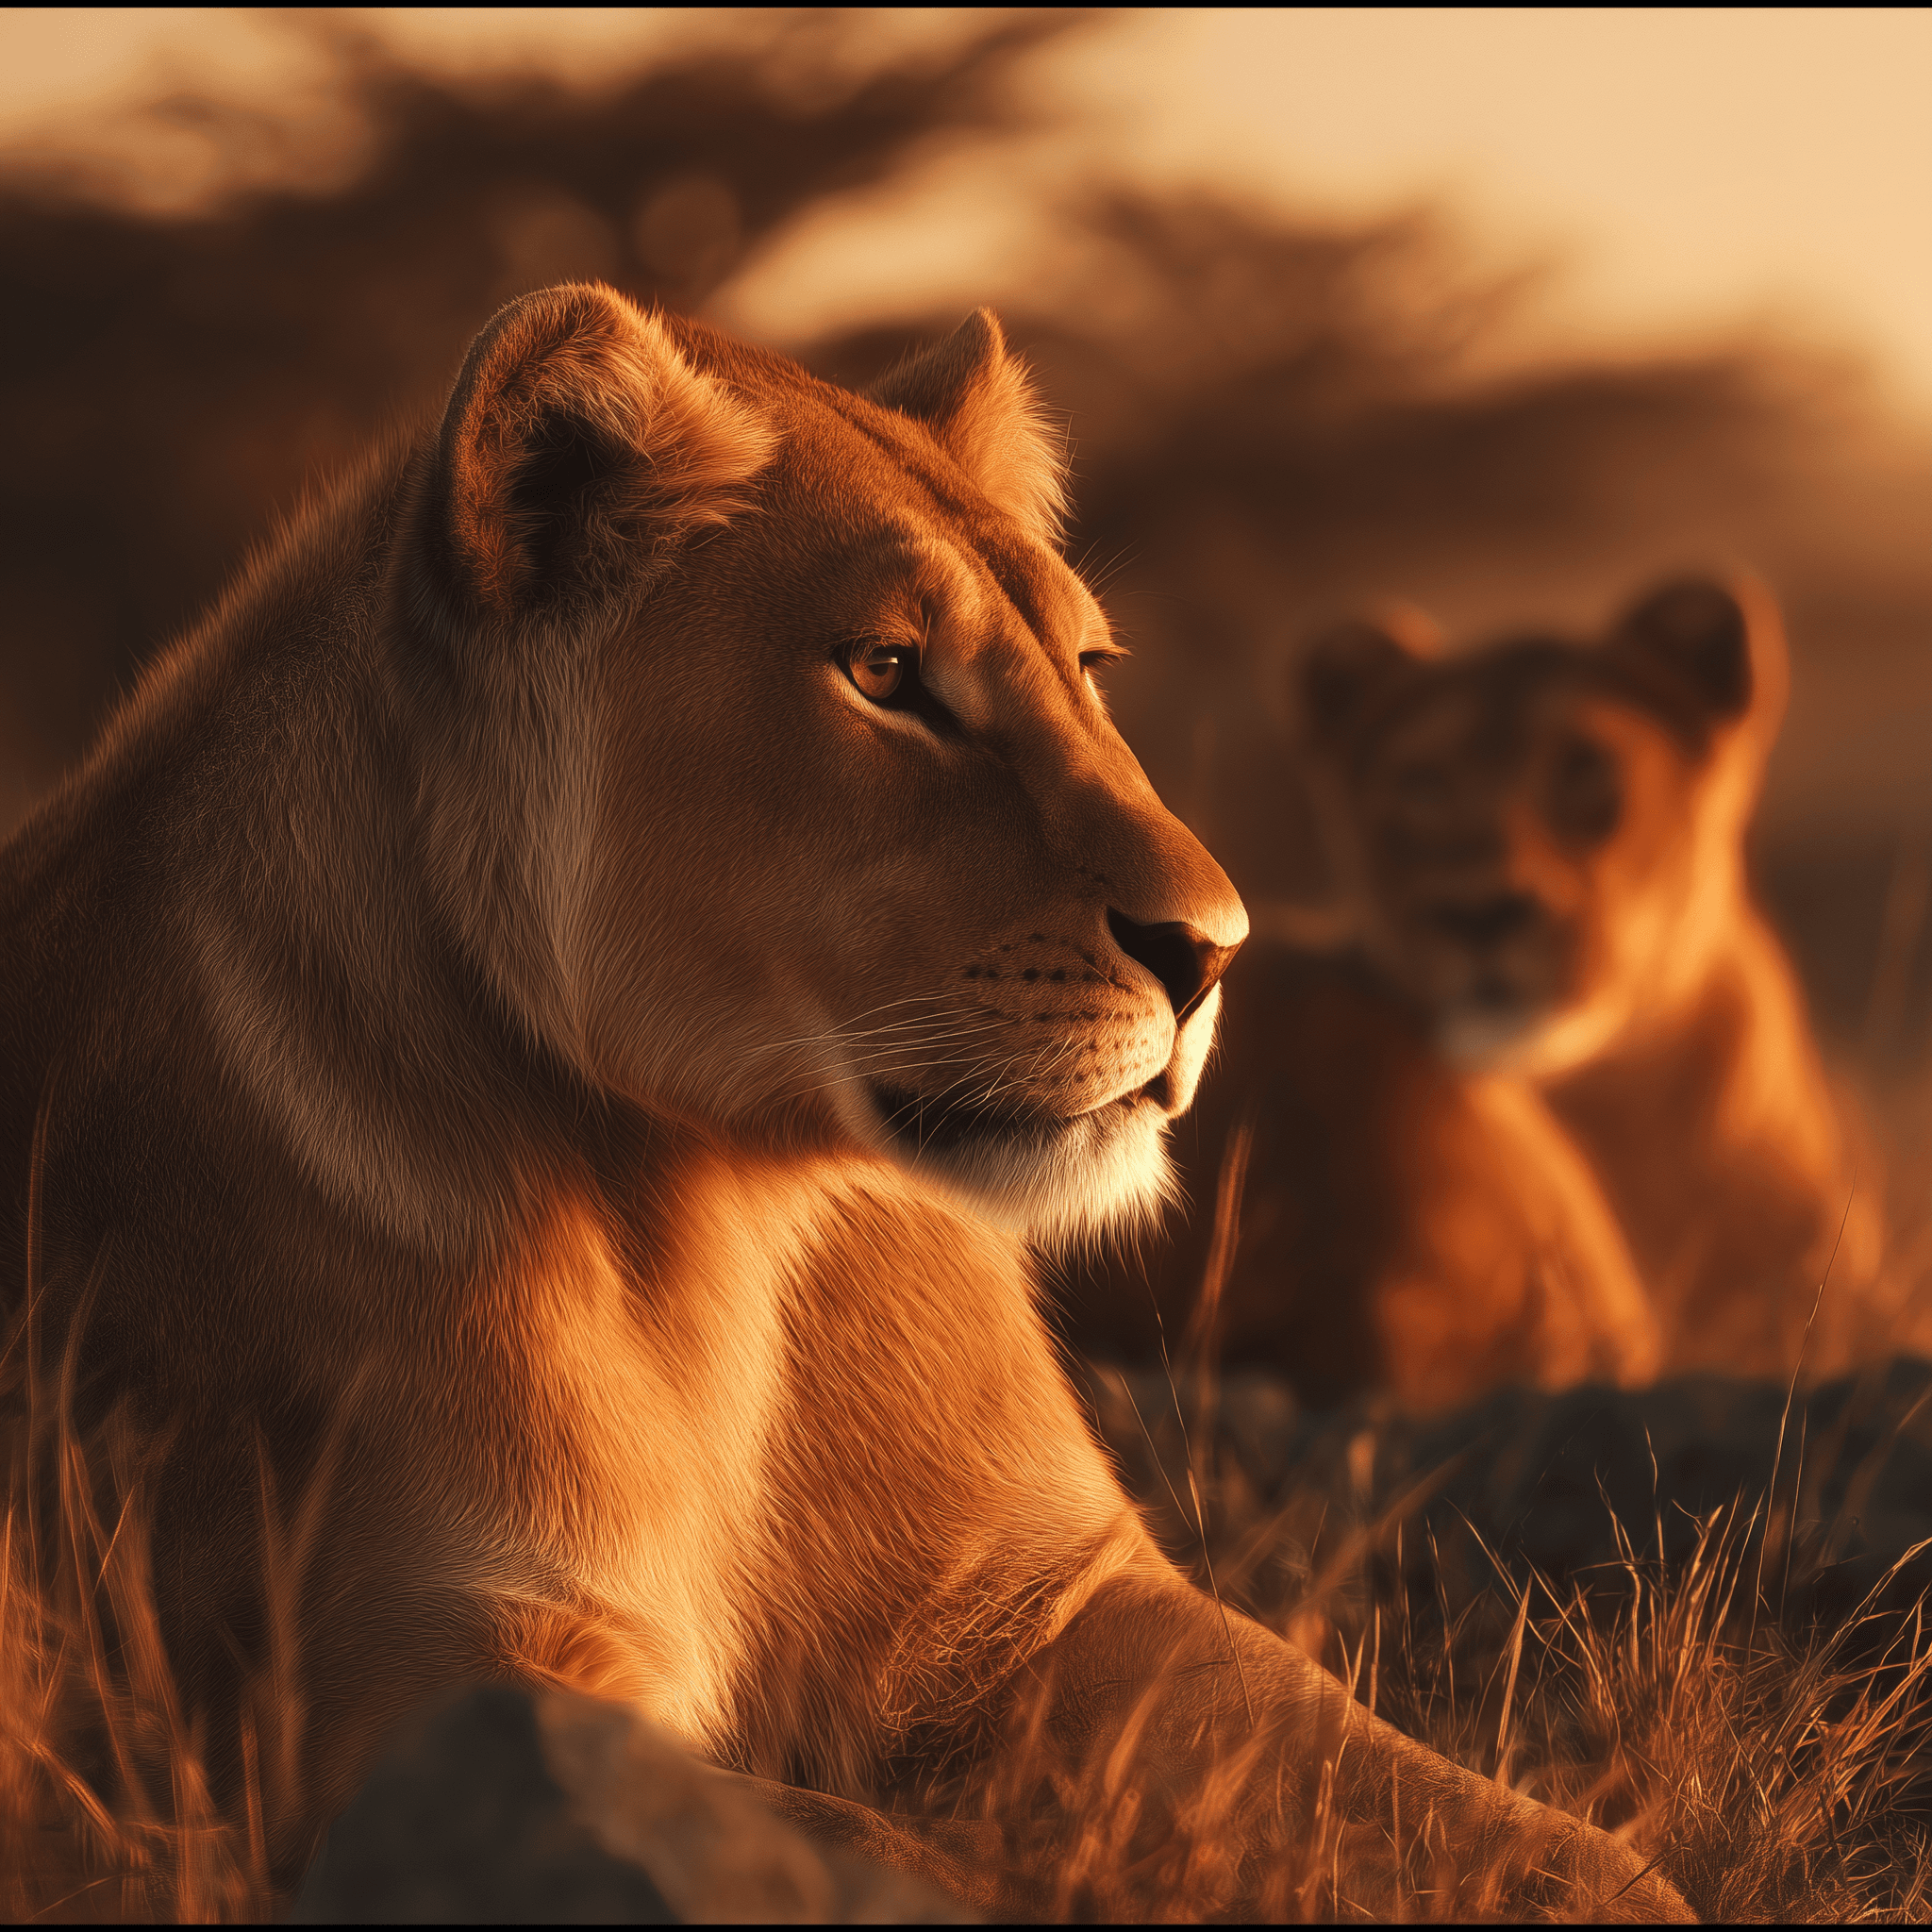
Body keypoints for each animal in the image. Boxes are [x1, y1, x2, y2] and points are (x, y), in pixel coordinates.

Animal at [0, 284, 1686, 1917]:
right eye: (886, 675)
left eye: (1087, 668)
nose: (1215, 949)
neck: (727, 1217)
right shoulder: (421, 1677)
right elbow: (901, 1864)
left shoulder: (1045, 1600)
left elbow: (1505, 1831)